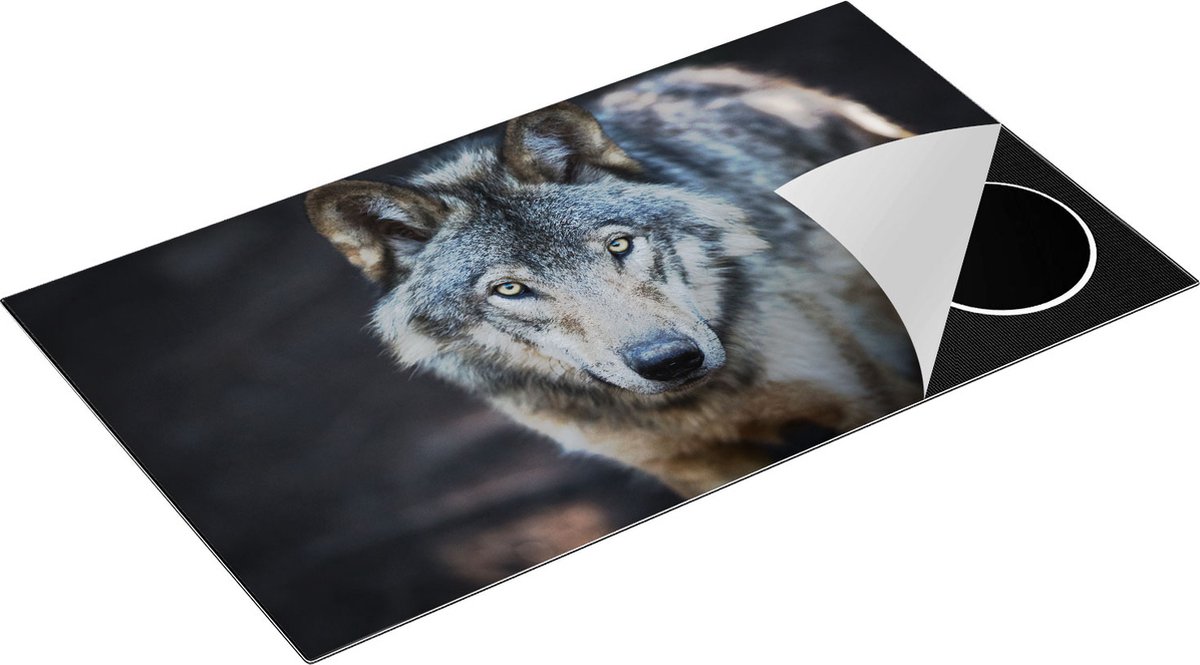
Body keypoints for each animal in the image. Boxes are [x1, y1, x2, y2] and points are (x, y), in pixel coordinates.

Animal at [306, 66, 922, 497]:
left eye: (618, 245)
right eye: (510, 290)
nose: (670, 361)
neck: (695, 406)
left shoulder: (862, 394)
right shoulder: (690, 468)